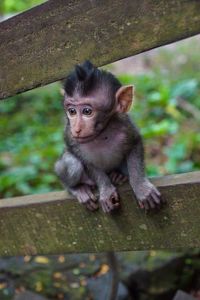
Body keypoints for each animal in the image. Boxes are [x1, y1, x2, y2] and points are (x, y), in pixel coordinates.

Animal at [55, 60, 162, 211]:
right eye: (72, 111)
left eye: (87, 111)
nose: (76, 128)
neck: (101, 133)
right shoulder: (69, 136)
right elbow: (85, 161)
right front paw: (106, 191)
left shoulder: (125, 124)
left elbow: (135, 143)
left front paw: (141, 188)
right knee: (72, 163)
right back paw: (77, 189)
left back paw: (118, 175)